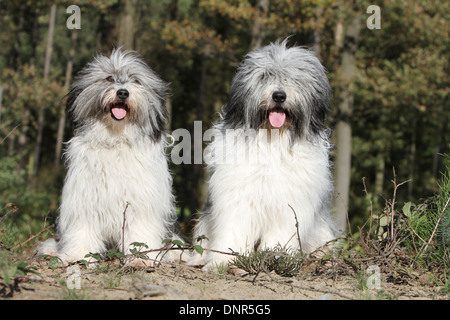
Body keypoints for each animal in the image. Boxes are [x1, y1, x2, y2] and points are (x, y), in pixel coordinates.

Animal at [39, 48, 176, 268]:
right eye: (109, 78)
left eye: (135, 80)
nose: (122, 92)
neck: (115, 139)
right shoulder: (84, 197)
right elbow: (83, 228)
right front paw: (78, 255)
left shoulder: (141, 201)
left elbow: (140, 231)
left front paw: (140, 259)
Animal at [190, 40, 338, 270]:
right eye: (265, 76)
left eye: (294, 78)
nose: (279, 95)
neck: (273, 138)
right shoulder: (238, 195)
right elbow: (234, 228)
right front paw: (223, 260)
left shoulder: (289, 204)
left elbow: (280, 233)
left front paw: (274, 256)